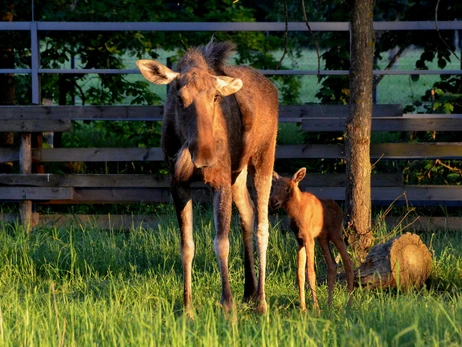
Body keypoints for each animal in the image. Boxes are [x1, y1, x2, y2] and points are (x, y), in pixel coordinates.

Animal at [137, 40, 278, 316]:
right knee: (248, 213)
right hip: (237, 171)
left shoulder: (219, 181)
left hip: (264, 156)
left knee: (263, 225)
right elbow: (187, 246)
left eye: (215, 96)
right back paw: (249, 291)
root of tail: (272, 87)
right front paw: (187, 307)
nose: (204, 156)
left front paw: (227, 305)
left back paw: (262, 302)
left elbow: (221, 243)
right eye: (179, 98)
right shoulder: (178, 183)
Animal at [270, 169, 354, 312]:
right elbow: (300, 273)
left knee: (348, 262)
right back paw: (329, 304)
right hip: (323, 238)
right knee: (332, 265)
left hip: (336, 233)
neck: (295, 212)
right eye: (273, 186)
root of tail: (339, 209)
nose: (273, 200)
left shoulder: (309, 238)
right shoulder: (299, 239)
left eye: (288, 188)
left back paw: (348, 305)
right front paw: (303, 308)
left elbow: (310, 272)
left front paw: (316, 308)